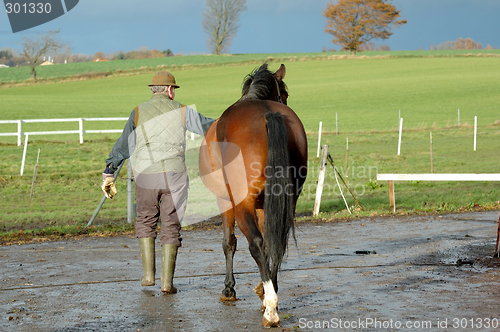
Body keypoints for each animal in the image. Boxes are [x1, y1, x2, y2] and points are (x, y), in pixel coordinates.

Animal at [197, 63, 306, 328]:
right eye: (285, 94)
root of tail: (268, 114)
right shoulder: (265, 205)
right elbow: (269, 243)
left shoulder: (226, 201)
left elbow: (229, 242)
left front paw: (229, 290)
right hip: (286, 201)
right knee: (277, 242)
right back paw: (269, 296)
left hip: (242, 203)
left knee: (255, 243)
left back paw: (271, 309)